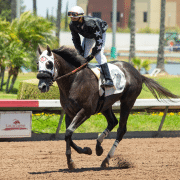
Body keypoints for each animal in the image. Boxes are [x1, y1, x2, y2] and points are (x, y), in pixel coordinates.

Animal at [36, 45, 179, 170]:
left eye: (49, 63)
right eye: (38, 64)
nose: (42, 86)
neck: (74, 81)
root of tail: (138, 73)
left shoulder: (85, 111)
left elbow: (68, 132)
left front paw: (76, 158)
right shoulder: (69, 112)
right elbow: (68, 135)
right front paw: (81, 155)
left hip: (128, 101)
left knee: (121, 129)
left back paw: (106, 159)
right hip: (105, 105)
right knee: (112, 122)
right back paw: (98, 147)